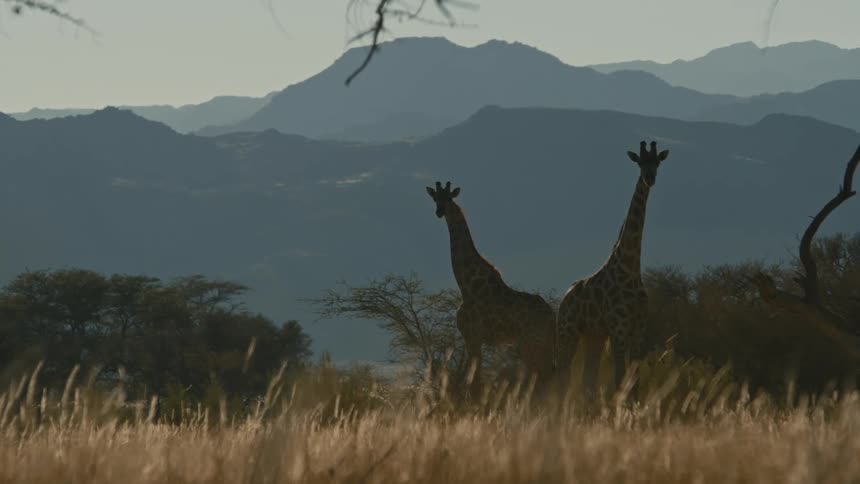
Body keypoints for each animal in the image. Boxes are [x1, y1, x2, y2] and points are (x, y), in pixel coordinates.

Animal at [426, 181, 556, 394]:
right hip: (540, 342)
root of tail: (552, 314)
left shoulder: (472, 336)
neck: (466, 285)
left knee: (544, 375)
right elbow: (474, 379)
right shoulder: (473, 338)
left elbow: (474, 381)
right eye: (435, 198)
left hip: (531, 341)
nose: (439, 212)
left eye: (449, 198)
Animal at [556, 141, 669, 398]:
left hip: (594, 335)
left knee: (588, 376)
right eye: (640, 162)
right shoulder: (619, 329)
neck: (630, 267)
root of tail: (564, 297)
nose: (649, 178)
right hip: (568, 331)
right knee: (564, 373)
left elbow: (634, 380)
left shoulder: (638, 329)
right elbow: (619, 379)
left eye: (657, 161)